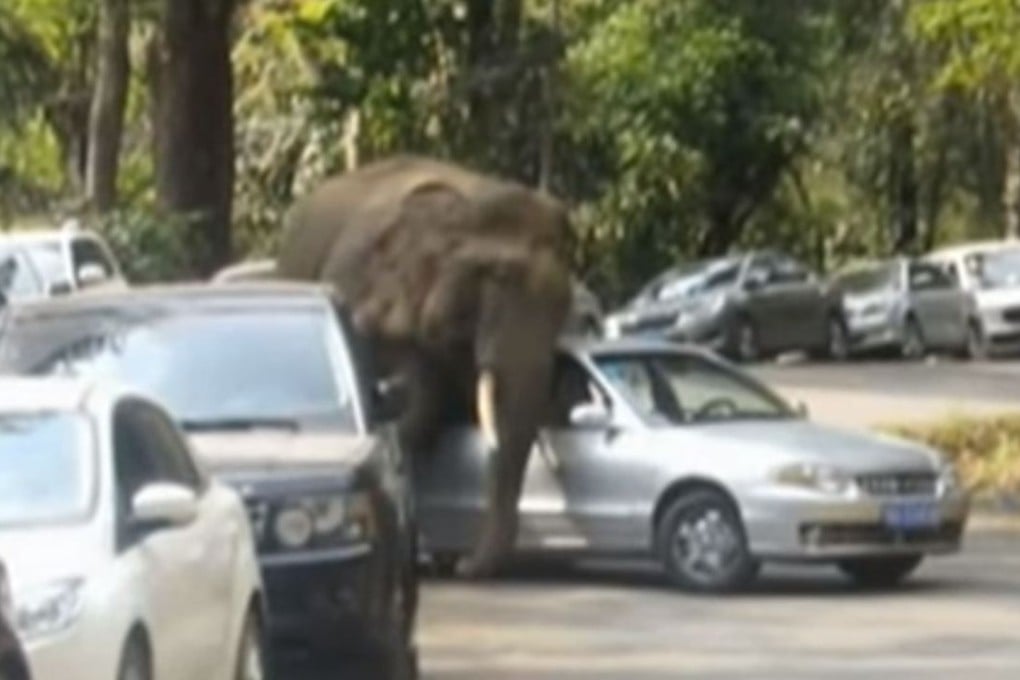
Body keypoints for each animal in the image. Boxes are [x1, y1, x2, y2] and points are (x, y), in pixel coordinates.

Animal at [276, 155, 574, 576]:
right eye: (493, 279)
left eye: (564, 306)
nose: (464, 567)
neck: (465, 204)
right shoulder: (368, 293)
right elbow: (415, 403)